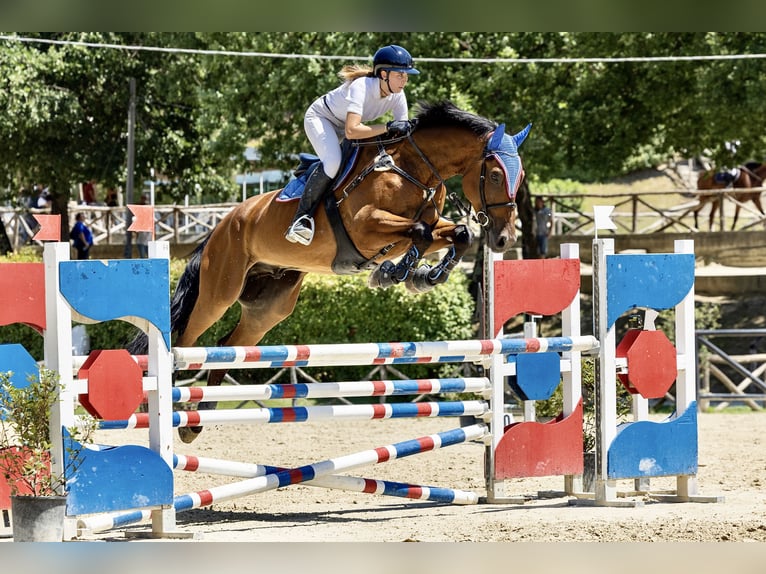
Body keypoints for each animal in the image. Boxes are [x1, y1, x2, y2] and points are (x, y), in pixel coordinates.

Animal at [132, 101, 532, 444]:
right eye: (495, 175)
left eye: (521, 175)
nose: (504, 238)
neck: (414, 170)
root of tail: (223, 224)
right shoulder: (366, 226)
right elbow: (418, 232)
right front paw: (393, 273)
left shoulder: (430, 226)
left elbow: (457, 234)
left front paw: (420, 276)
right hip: (219, 292)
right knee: (186, 339)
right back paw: (164, 408)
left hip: (270, 307)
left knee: (228, 346)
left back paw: (197, 420)